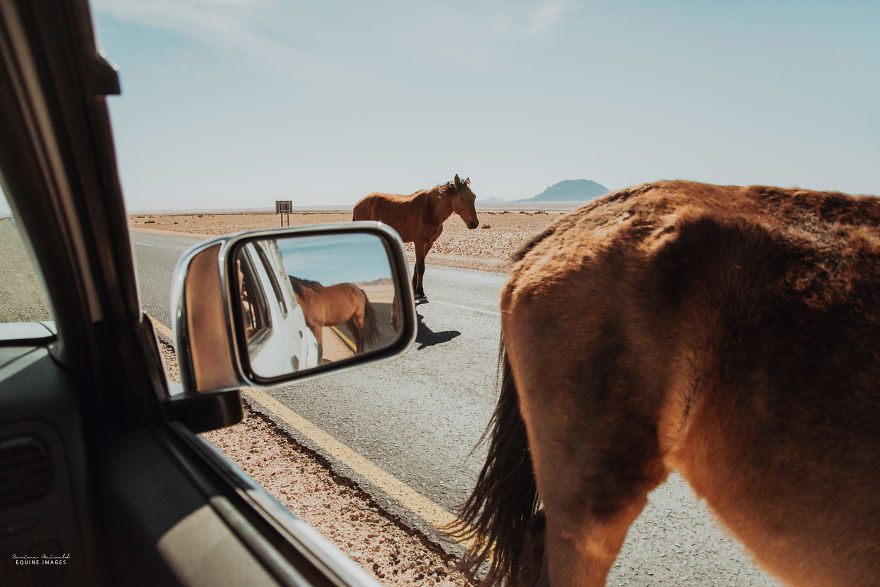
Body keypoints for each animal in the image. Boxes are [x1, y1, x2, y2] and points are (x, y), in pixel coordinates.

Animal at [352, 173, 479, 303]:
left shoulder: (429, 243)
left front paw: (414, 290)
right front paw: (421, 292)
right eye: (461, 198)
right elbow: (420, 267)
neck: (431, 210)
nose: (474, 223)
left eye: (474, 197)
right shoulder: (419, 242)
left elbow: (416, 265)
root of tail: (357, 205)